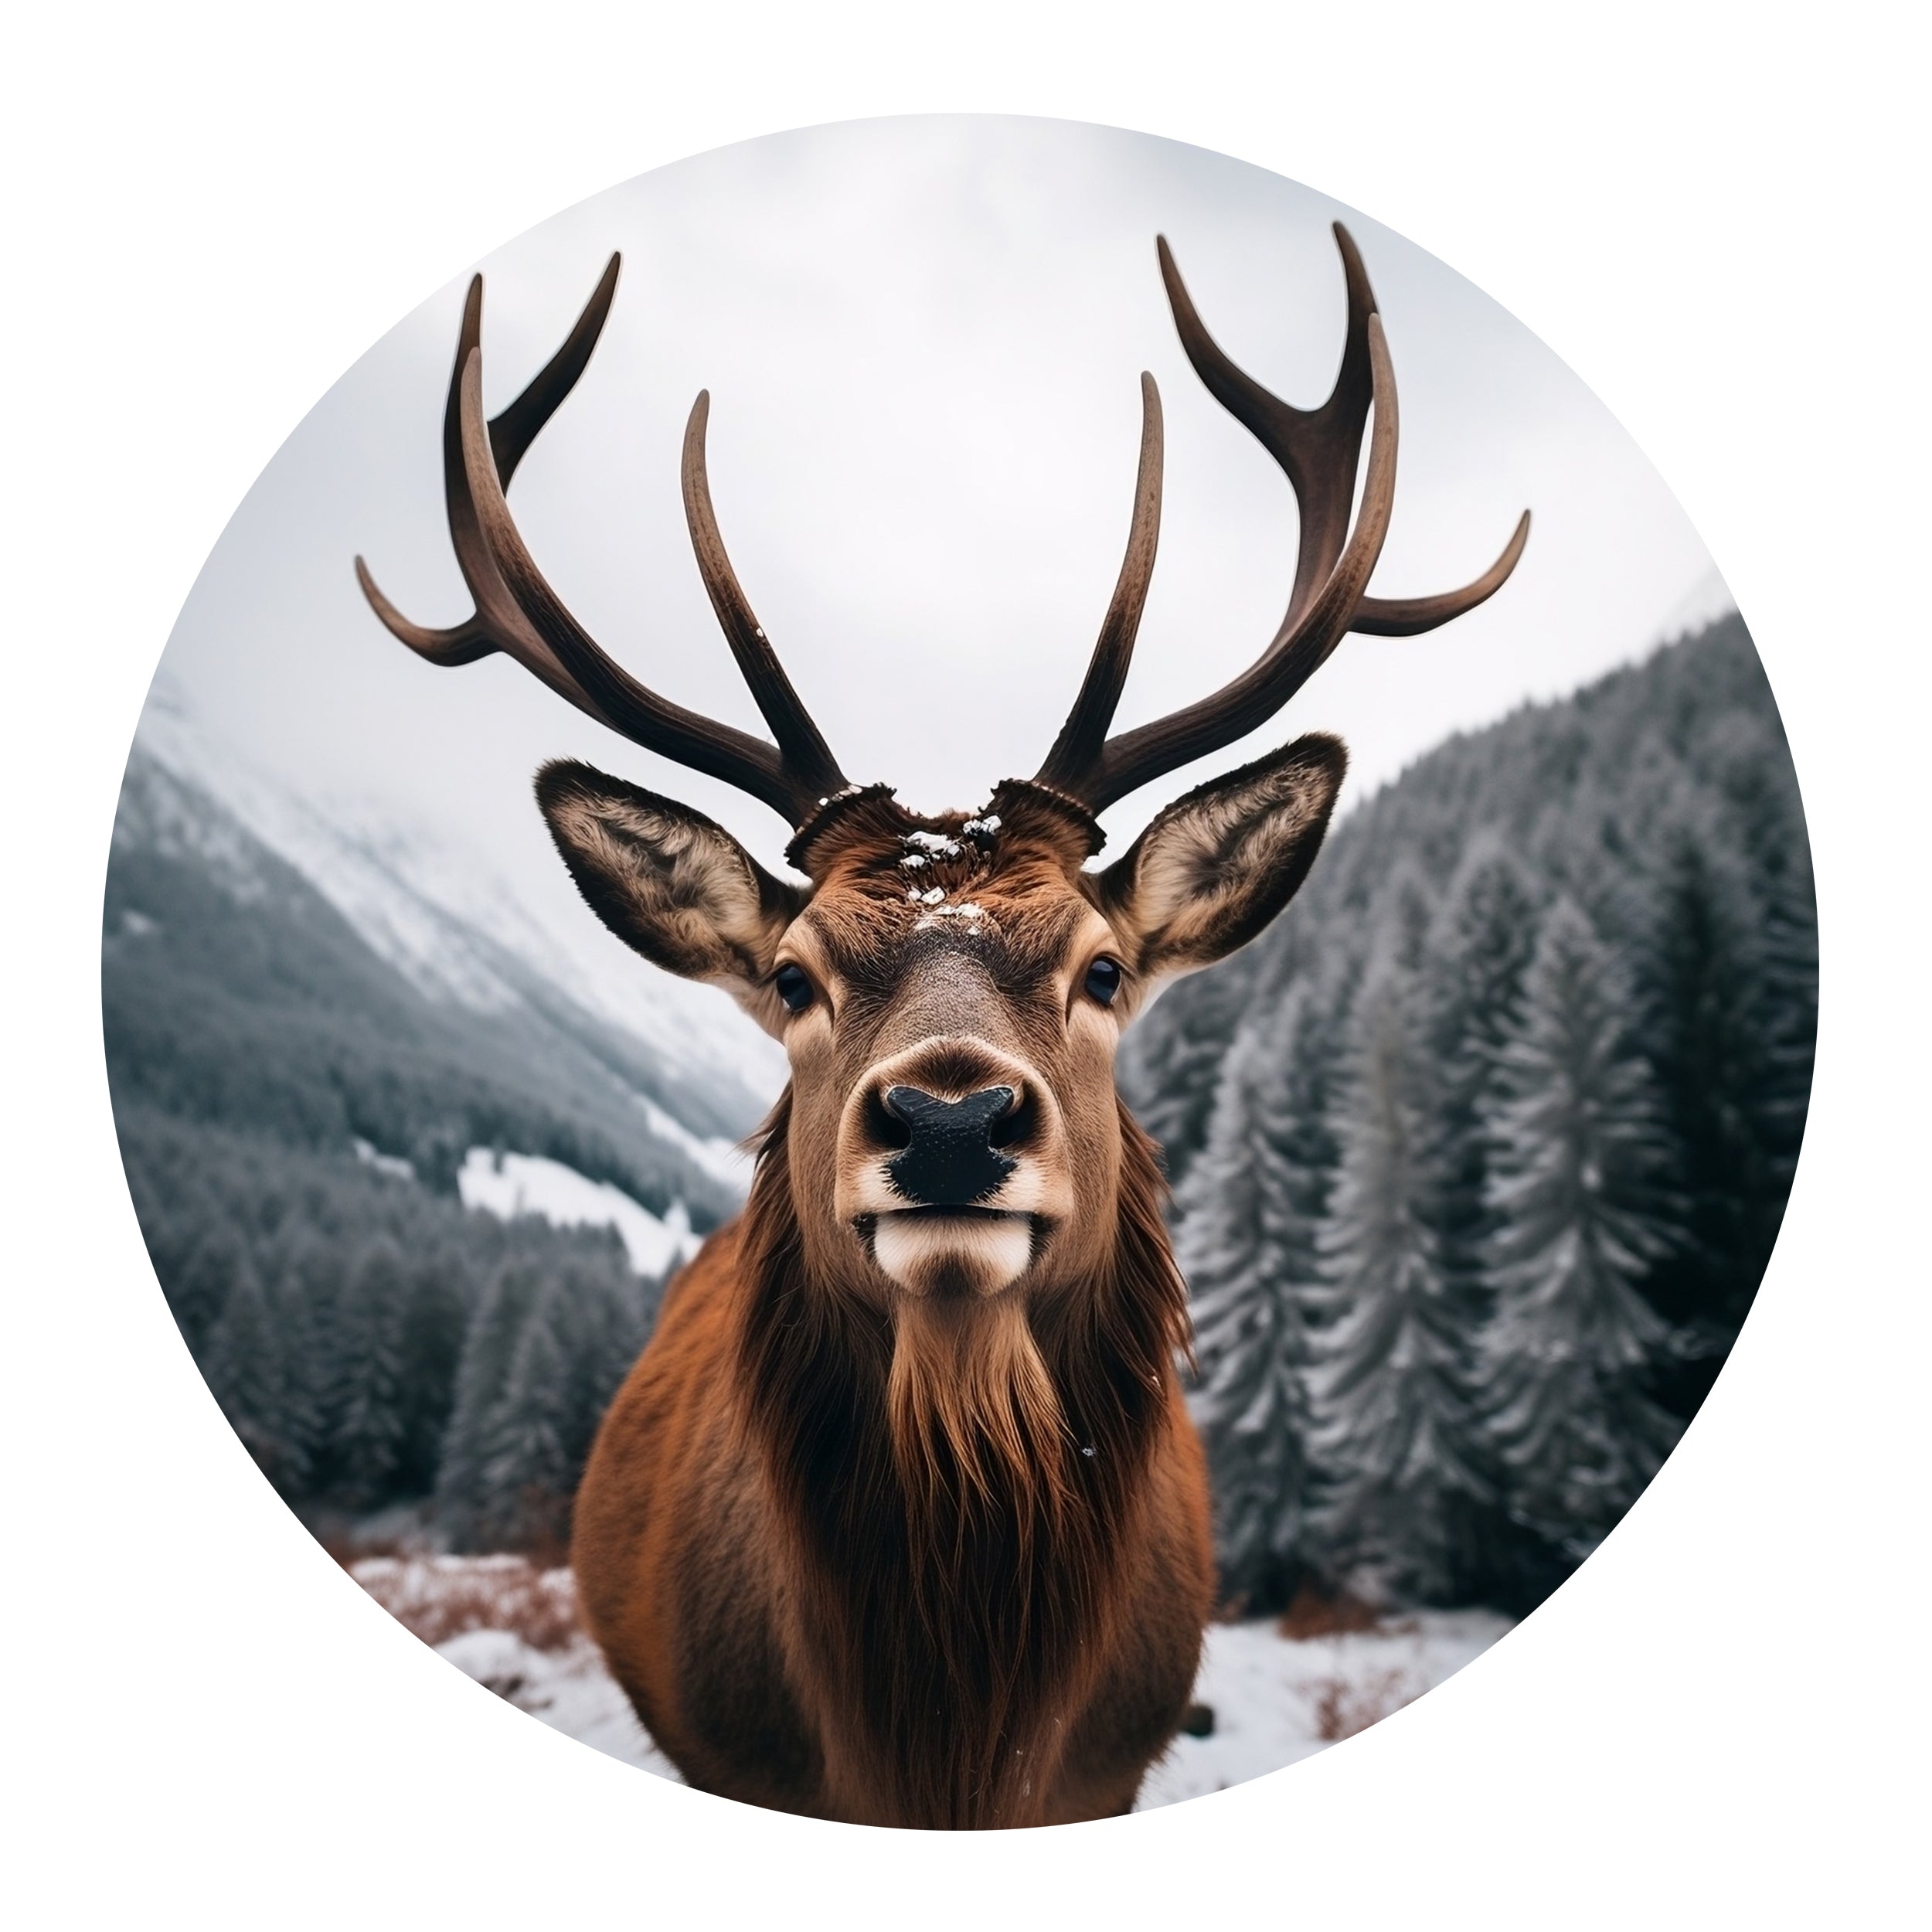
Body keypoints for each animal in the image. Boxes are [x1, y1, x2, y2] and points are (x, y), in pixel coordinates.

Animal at [355, 223, 1528, 1828]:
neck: (944, 1736)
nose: (954, 1120)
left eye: (1104, 970)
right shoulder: (736, 1758)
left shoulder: (1106, 1771)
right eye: (794, 977)